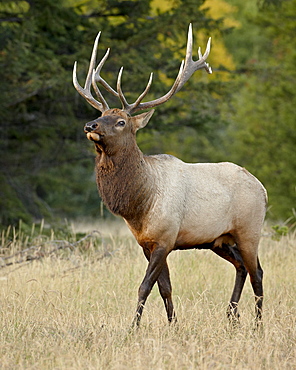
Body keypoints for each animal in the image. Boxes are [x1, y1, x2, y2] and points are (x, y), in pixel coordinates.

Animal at [73, 25, 268, 326]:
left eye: (121, 122)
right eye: (101, 113)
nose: (90, 125)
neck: (140, 205)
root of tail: (262, 188)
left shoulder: (166, 237)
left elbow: (144, 286)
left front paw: (133, 328)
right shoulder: (147, 243)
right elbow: (165, 287)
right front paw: (173, 325)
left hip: (249, 229)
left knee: (257, 271)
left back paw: (257, 325)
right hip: (219, 239)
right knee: (242, 267)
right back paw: (231, 316)